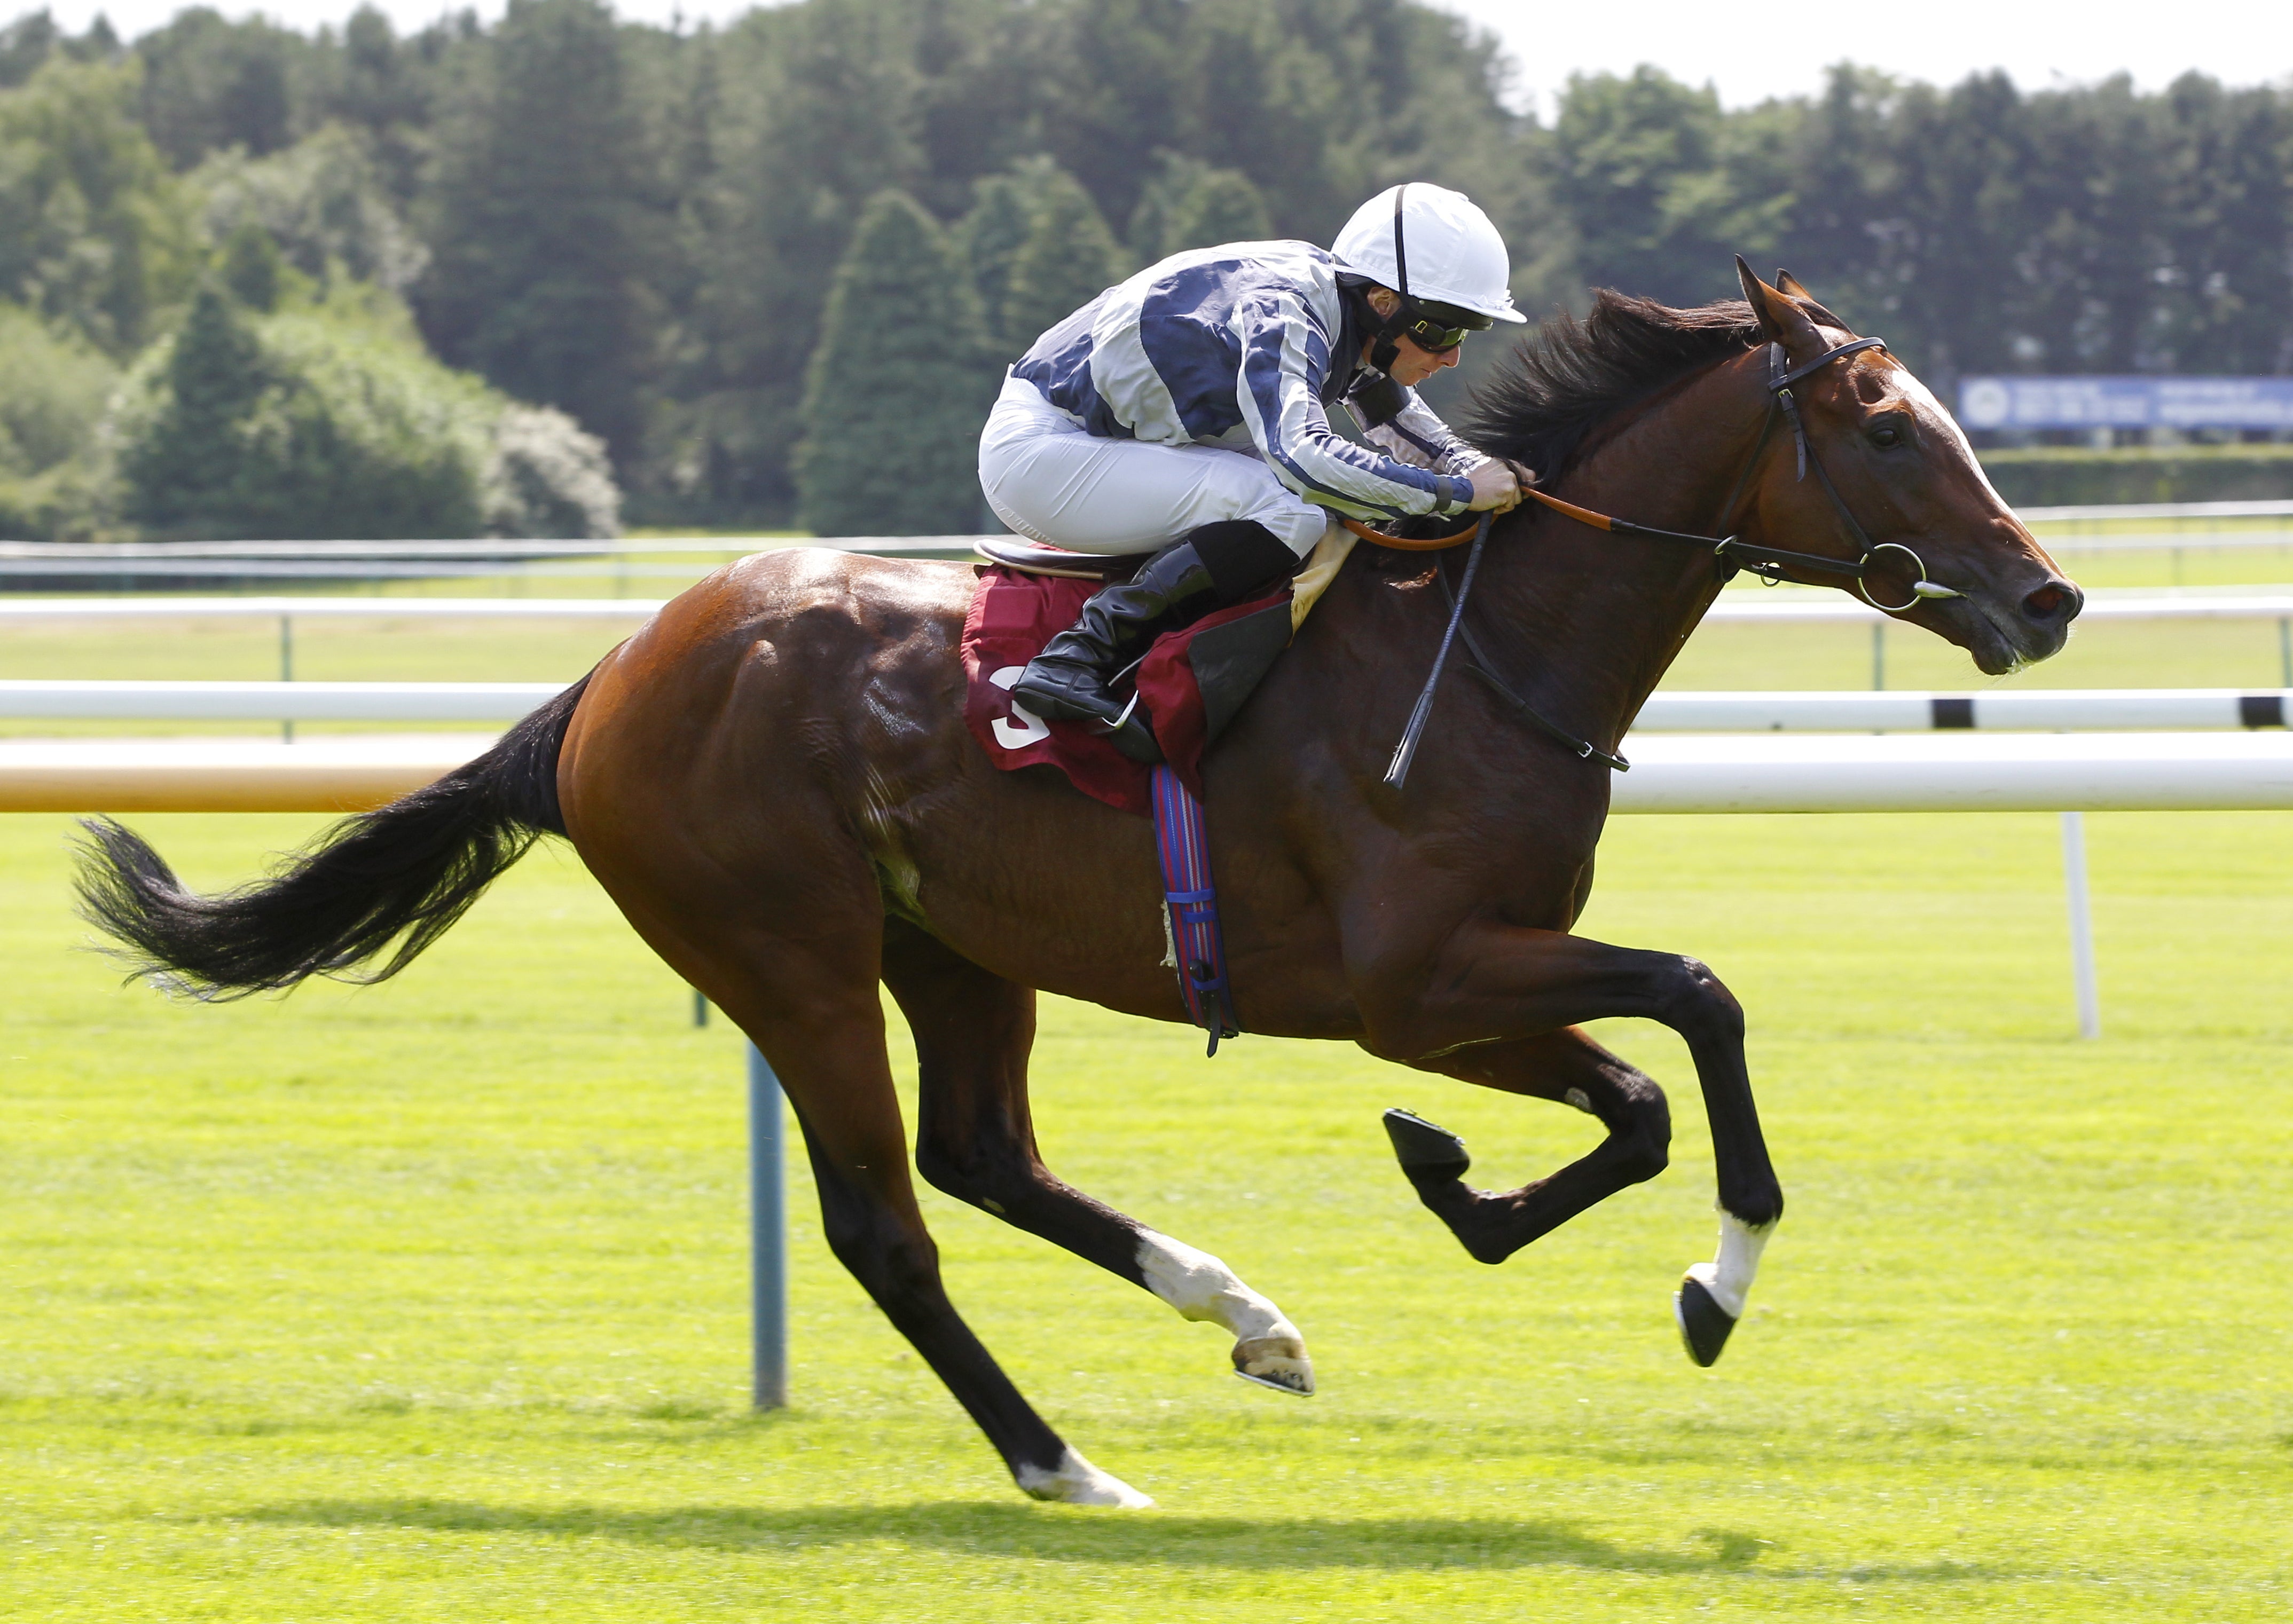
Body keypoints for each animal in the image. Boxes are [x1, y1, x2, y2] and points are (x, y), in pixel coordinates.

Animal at [76, 266, 2082, 1513]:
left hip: (954, 946)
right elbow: (1693, 1010)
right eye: (1888, 430)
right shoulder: (1415, 978)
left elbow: (1642, 1090)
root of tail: (614, 678)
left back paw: (1240, 1316)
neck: (1481, 650)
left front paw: (1465, 1190)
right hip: (792, 955)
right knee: (891, 1227)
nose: (2048, 597)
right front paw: (1702, 1282)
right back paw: (1063, 1464)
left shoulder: (1458, 980)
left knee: (984, 1156)